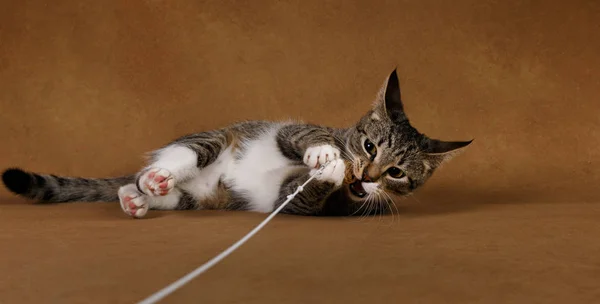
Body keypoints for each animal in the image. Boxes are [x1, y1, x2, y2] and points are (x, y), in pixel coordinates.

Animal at [1, 69, 474, 217]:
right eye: (370, 147)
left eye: (396, 173)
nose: (367, 176)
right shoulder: (289, 130)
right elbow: (302, 134)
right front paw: (327, 154)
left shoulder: (298, 202)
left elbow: (300, 197)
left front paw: (333, 174)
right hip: (214, 139)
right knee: (183, 154)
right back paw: (155, 177)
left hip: (208, 196)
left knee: (175, 197)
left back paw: (140, 197)